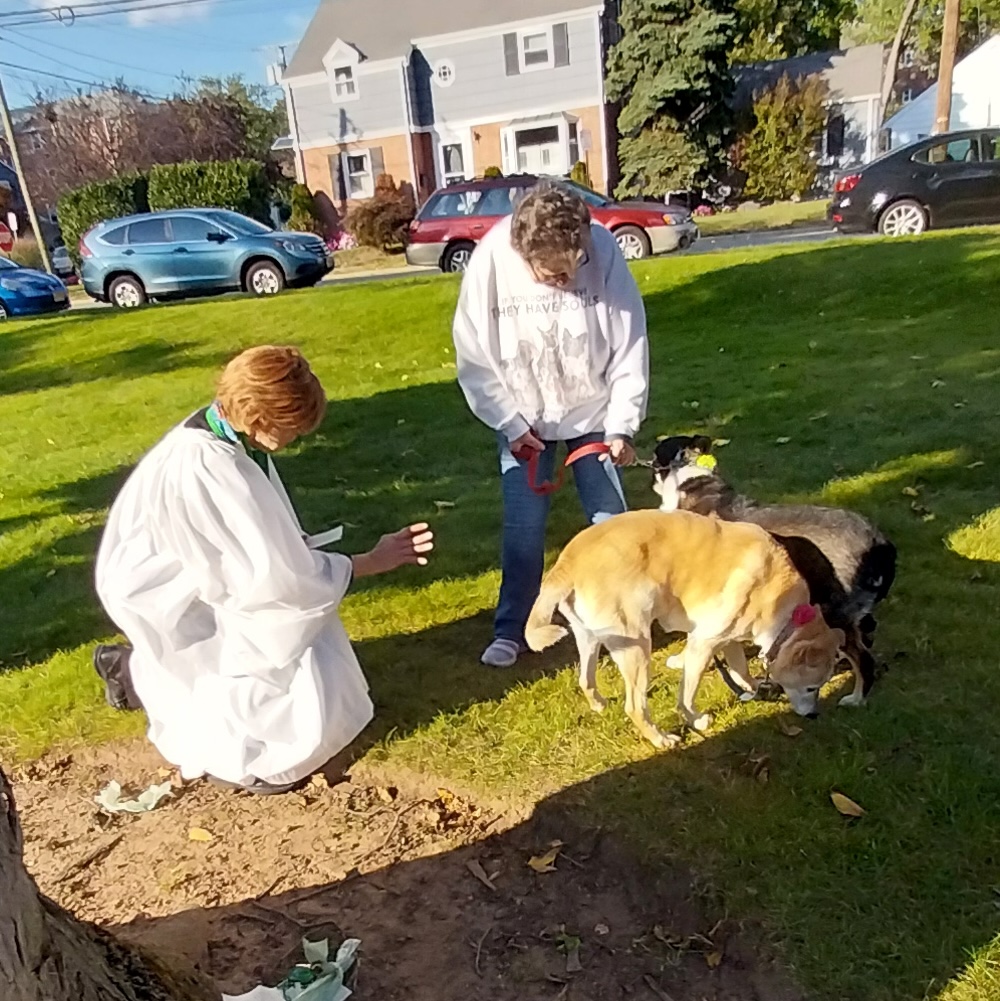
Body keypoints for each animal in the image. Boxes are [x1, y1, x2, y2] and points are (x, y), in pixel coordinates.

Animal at [528, 512, 848, 748]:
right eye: (812, 687)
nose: (814, 715)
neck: (783, 604)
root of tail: (567, 560)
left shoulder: (729, 638)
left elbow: (740, 666)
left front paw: (752, 686)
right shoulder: (701, 644)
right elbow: (687, 695)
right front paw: (695, 720)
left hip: (590, 639)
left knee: (585, 680)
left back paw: (599, 706)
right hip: (638, 647)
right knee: (635, 707)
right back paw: (661, 739)